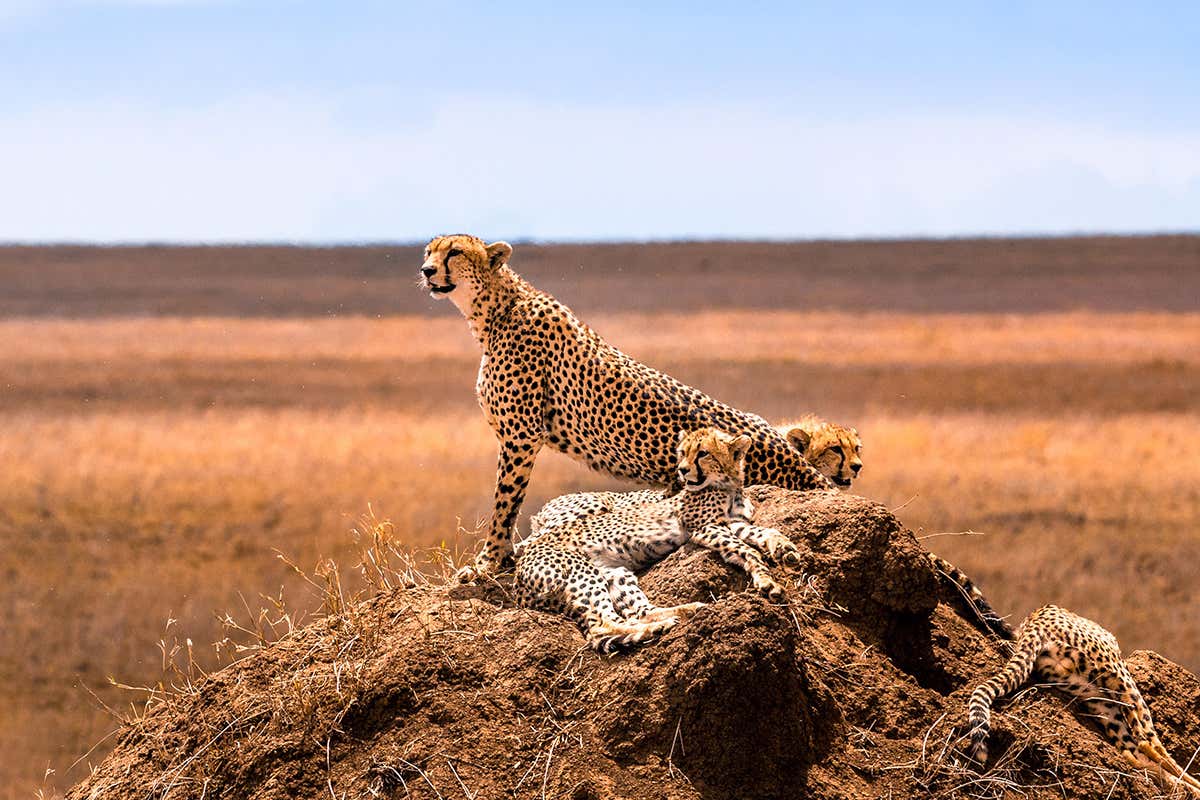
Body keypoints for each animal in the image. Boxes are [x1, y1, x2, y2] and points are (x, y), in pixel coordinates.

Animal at [420, 234, 833, 583]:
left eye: (454, 252)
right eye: (428, 251)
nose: (425, 271)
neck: (496, 309)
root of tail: (814, 476)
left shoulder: (521, 436)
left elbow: (505, 503)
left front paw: (488, 562)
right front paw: (498, 559)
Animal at [514, 427, 795, 653]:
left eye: (703, 453)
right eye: (682, 452)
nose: (682, 470)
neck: (728, 486)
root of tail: (518, 582)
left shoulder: (733, 524)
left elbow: (762, 535)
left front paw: (782, 553)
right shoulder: (704, 528)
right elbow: (745, 548)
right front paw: (767, 579)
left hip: (614, 572)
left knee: (636, 613)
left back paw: (683, 612)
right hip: (580, 572)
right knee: (601, 627)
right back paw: (659, 627)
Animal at [966, 604, 1200, 797]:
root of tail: (1031, 623)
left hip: (1095, 696)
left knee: (1131, 752)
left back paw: (1184, 787)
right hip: (1118, 675)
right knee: (1147, 741)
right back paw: (1193, 786)